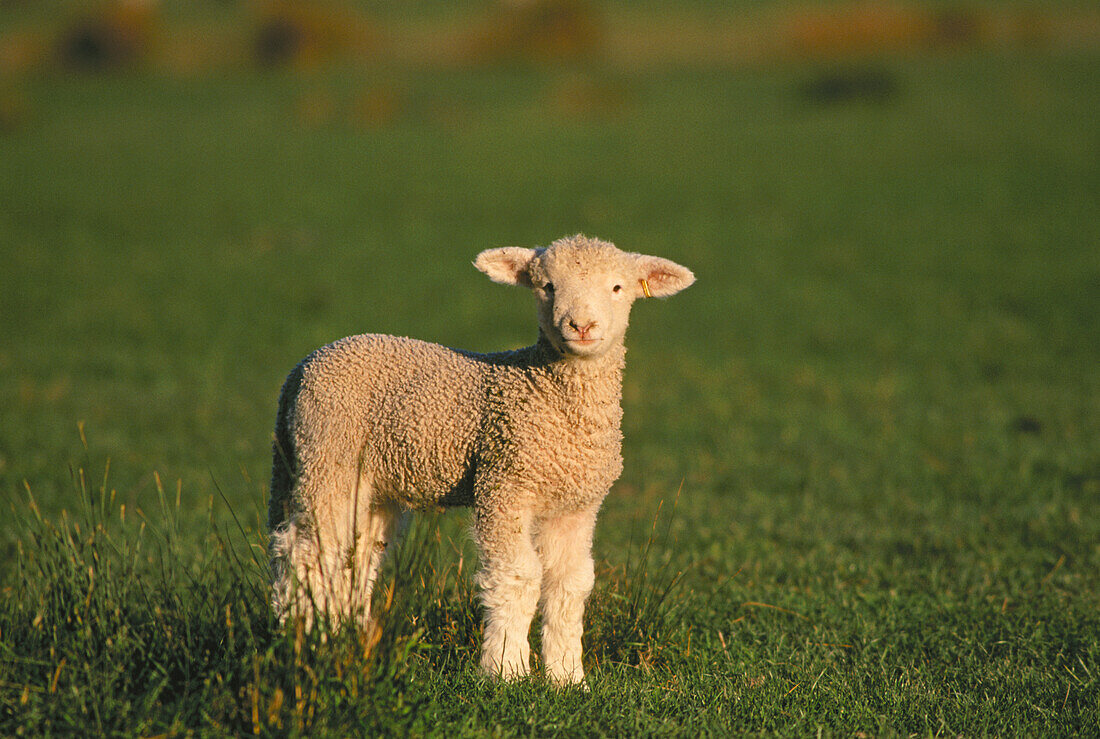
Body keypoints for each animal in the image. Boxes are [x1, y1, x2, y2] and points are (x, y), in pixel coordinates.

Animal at [266, 234, 690, 686]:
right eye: (547, 287)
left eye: (617, 288)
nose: (581, 326)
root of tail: (302, 367)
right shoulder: (504, 483)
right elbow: (518, 576)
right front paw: (506, 670)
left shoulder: (576, 505)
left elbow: (570, 584)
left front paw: (567, 677)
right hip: (328, 457)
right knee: (308, 552)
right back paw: (305, 638)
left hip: (369, 481)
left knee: (356, 557)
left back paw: (346, 638)